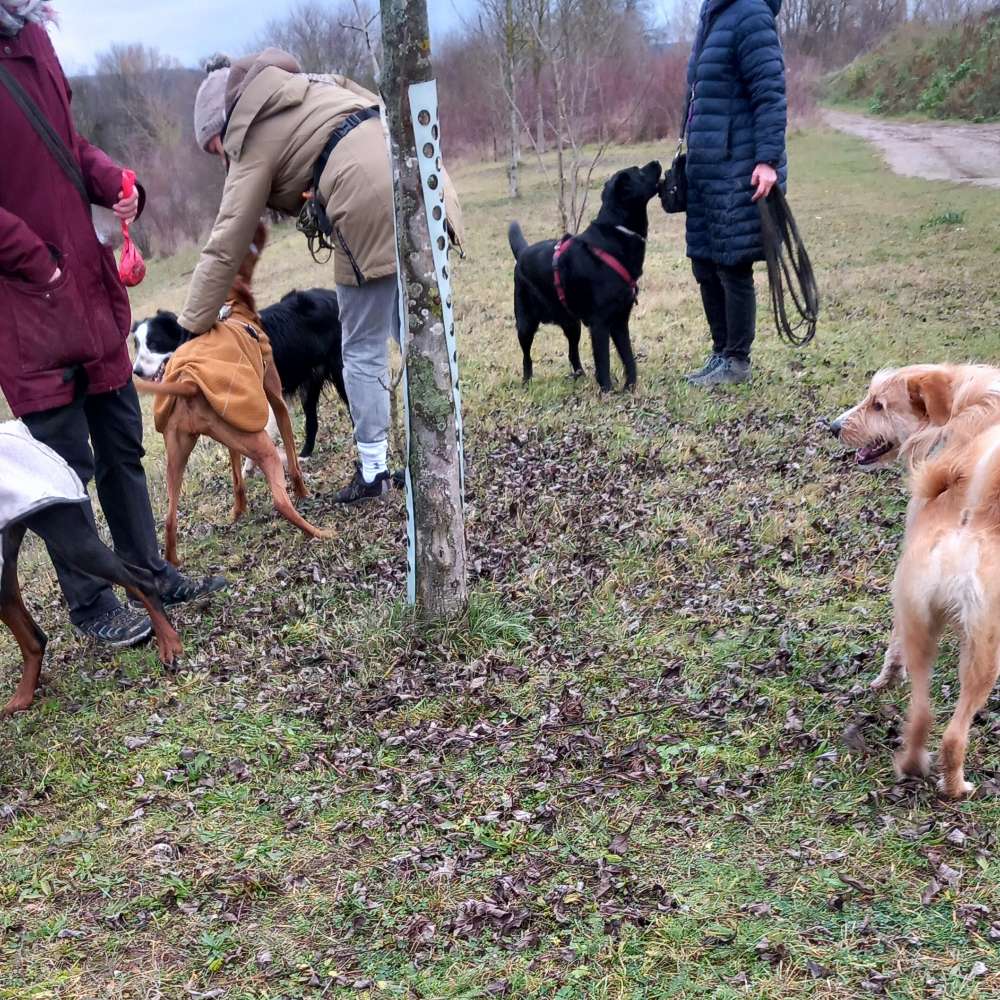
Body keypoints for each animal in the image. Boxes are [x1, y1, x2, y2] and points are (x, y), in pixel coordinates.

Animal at [135, 288, 348, 458]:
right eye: (136, 346)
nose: (135, 371)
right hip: (311, 381)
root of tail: (331, 295)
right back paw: (305, 454)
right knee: (312, 419)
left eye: (154, 343)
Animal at [508, 160, 664, 390]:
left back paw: (579, 374)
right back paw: (527, 381)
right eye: (639, 172)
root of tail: (522, 252)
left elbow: (628, 357)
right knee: (526, 357)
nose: (656, 162)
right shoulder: (600, 324)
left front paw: (630, 387)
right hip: (525, 325)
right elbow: (604, 361)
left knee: (573, 353)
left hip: (572, 324)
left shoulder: (620, 320)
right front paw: (607, 391)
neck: (617, 232)